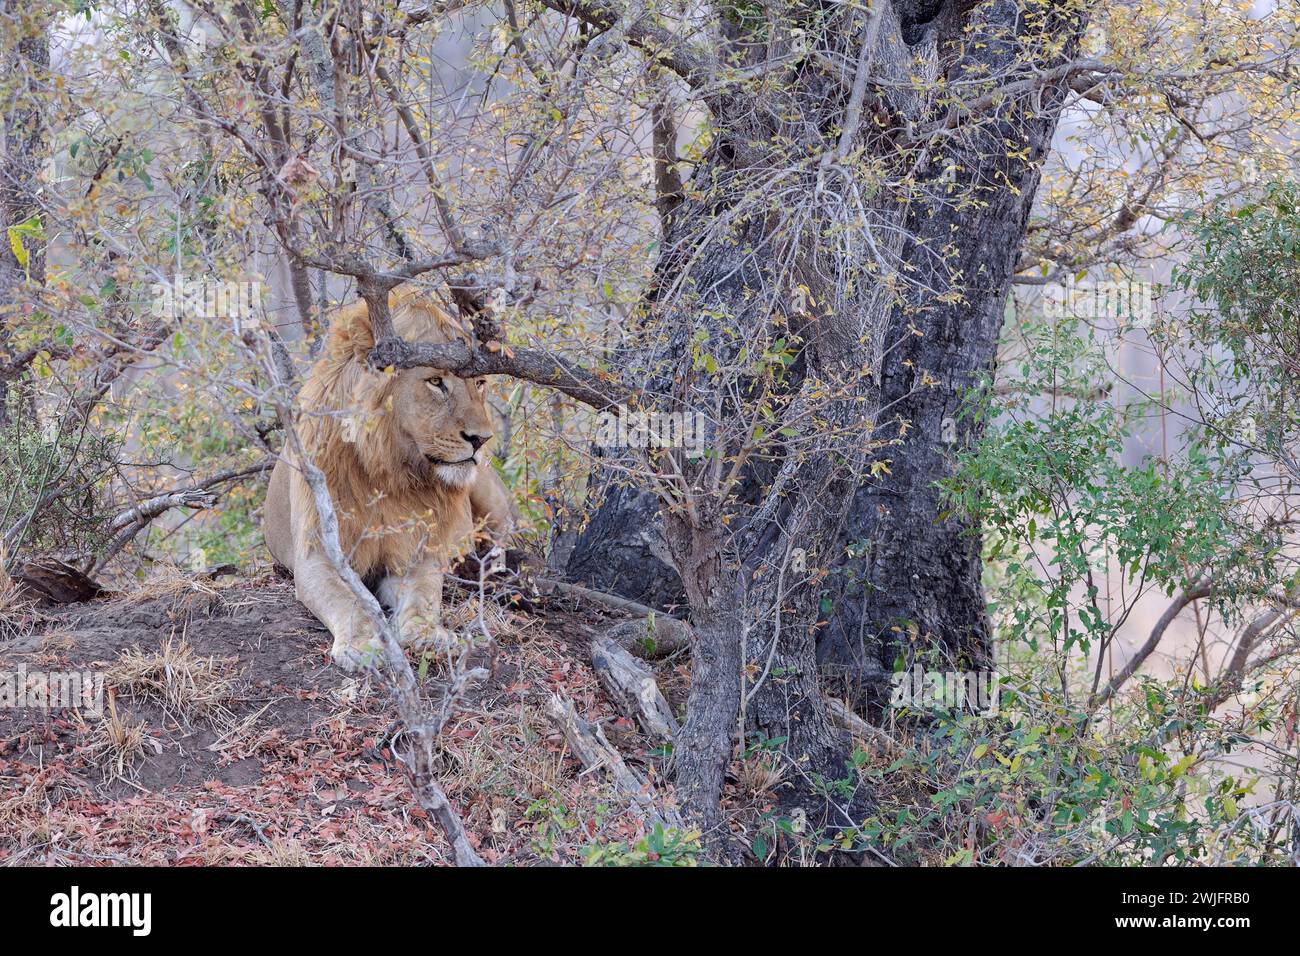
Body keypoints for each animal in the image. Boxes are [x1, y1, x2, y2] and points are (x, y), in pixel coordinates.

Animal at [261, 287, 514, 671]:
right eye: (436, 381)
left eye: (480, 383)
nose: (482, 439)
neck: (389, 467)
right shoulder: (318, 555)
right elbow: (349, 600)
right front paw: (363, 645)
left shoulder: (415, 554)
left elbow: (424, 595)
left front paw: (428, 633)